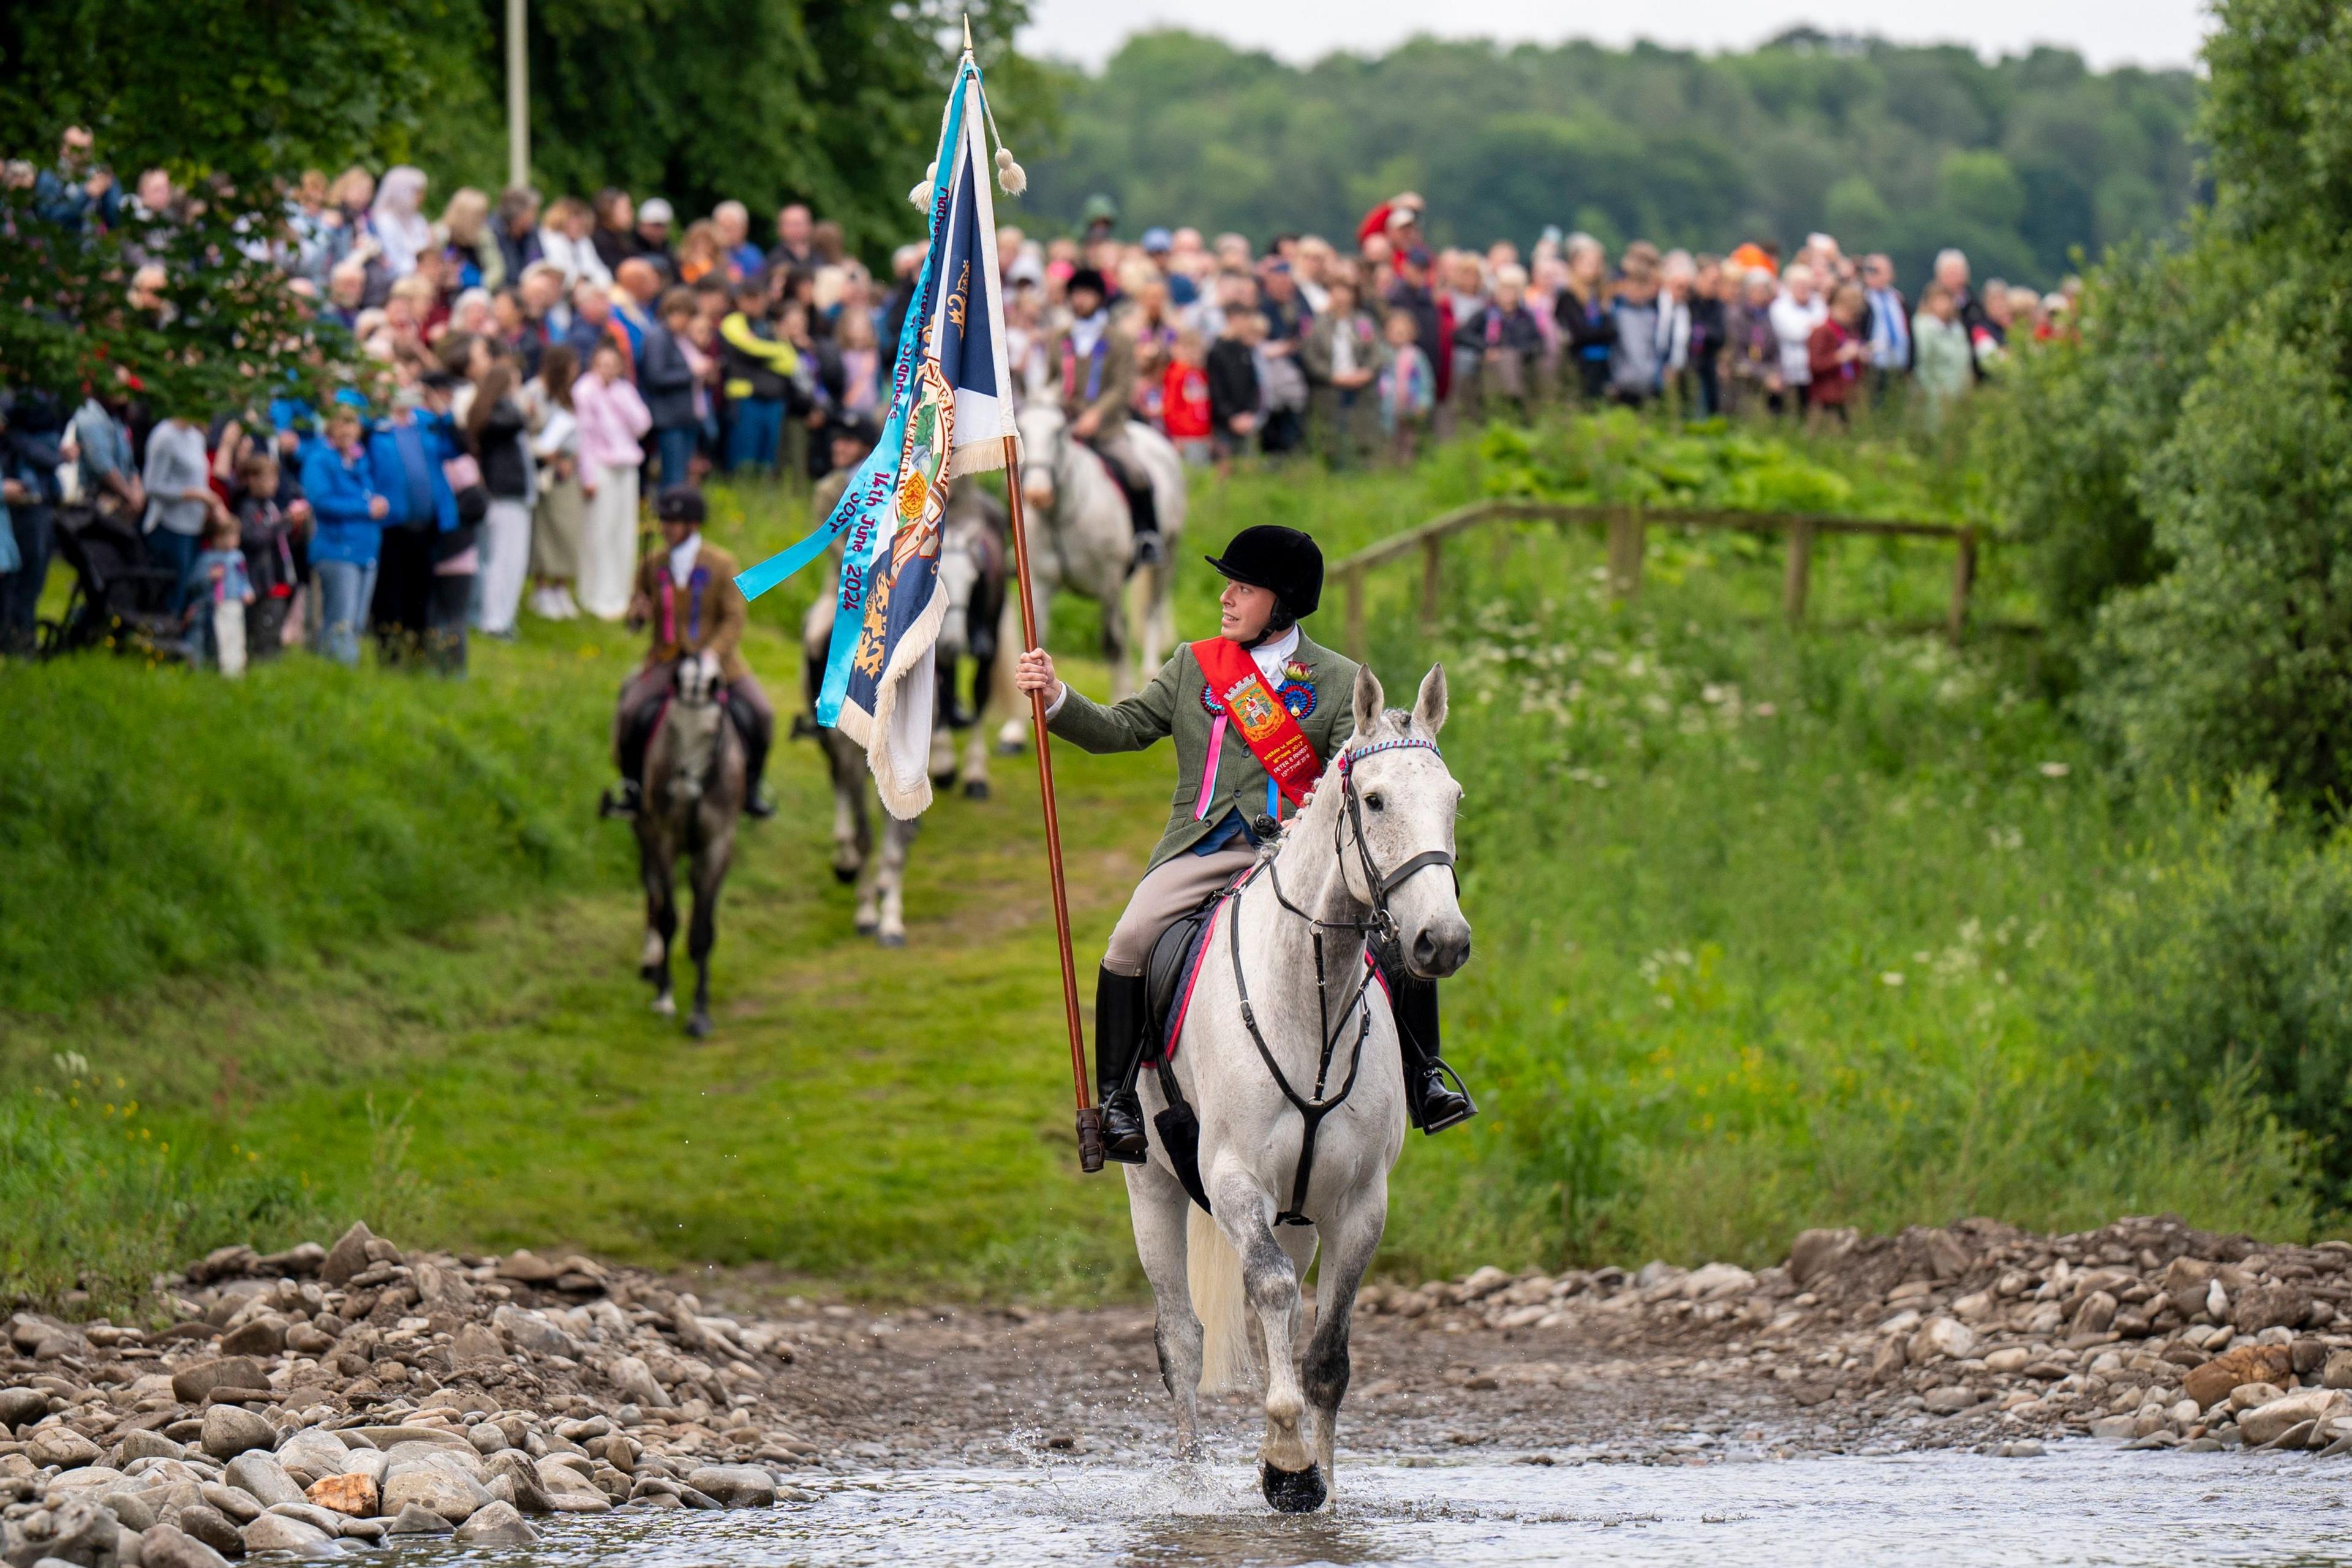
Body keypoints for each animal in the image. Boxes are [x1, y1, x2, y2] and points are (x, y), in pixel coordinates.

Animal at [635, 653, 743, 1044]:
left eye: (711, 732)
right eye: (671, 727)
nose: (681, 793)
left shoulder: (717, 846)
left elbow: (703, 931)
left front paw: (700, 1013)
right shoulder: (664, 838)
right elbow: (668, 918)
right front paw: (664, 997)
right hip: (645, 830)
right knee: (652, 891)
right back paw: (651, 964)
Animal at [1124, 658, 1468, 1504]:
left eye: (1452, 799)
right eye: (1374, 800)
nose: (1442, 941)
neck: (1309, 996)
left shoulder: (1359, 1203)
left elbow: (1327, 1356)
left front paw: (1320, 1486)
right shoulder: (1234, 1181)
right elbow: (1274, 1295)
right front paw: (1286, 1461)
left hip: (1298, 1216)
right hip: (1154, 1188)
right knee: (1183, 1336)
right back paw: (1192, 1484)